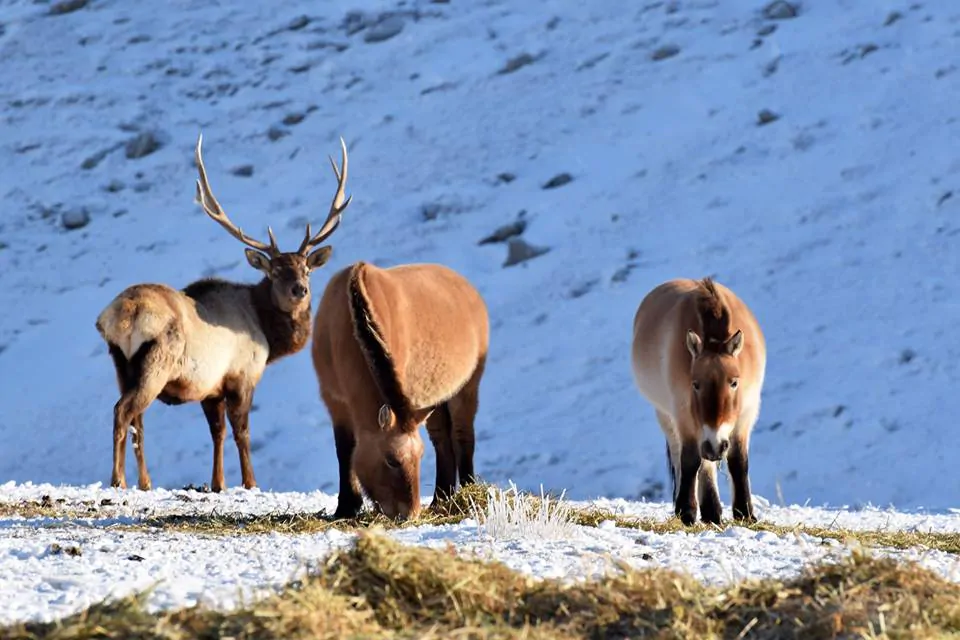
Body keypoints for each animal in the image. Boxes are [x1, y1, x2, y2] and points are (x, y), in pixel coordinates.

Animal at [94, 132, 352, 492]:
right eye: (275, 271)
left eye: (306, 270)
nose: (299, 290)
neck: (267, 332)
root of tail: (121, 315)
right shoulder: (242, 374)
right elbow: (241, 432)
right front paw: (250, 483)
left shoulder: (210, 389)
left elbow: (217, 433)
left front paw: (219, 483)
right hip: (155, 362)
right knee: (123, 412)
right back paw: (117, 479)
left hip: (122, 365)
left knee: (137, 421)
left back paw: (144, 482)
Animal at [314, 260, 492, 520]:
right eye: (391, 460)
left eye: (419, 457)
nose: (410, 513)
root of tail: (469, 290)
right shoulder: (334, 401)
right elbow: (345, 449)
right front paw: (346, 506)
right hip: (433, 399)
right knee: (442, 439)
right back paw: (441, 498)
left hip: (467, 388)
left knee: (463, 435)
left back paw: (467, 491)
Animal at [632, 278, 764, 528]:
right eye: (695, 384)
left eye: (734, 382)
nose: (715, 445)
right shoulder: (683, 413)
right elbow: (690, 461)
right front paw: (686, 512)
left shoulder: (746, 414)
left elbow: (738, 461)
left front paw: (745, 514)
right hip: (667, 416)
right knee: (686, 459)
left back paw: (712, 512)